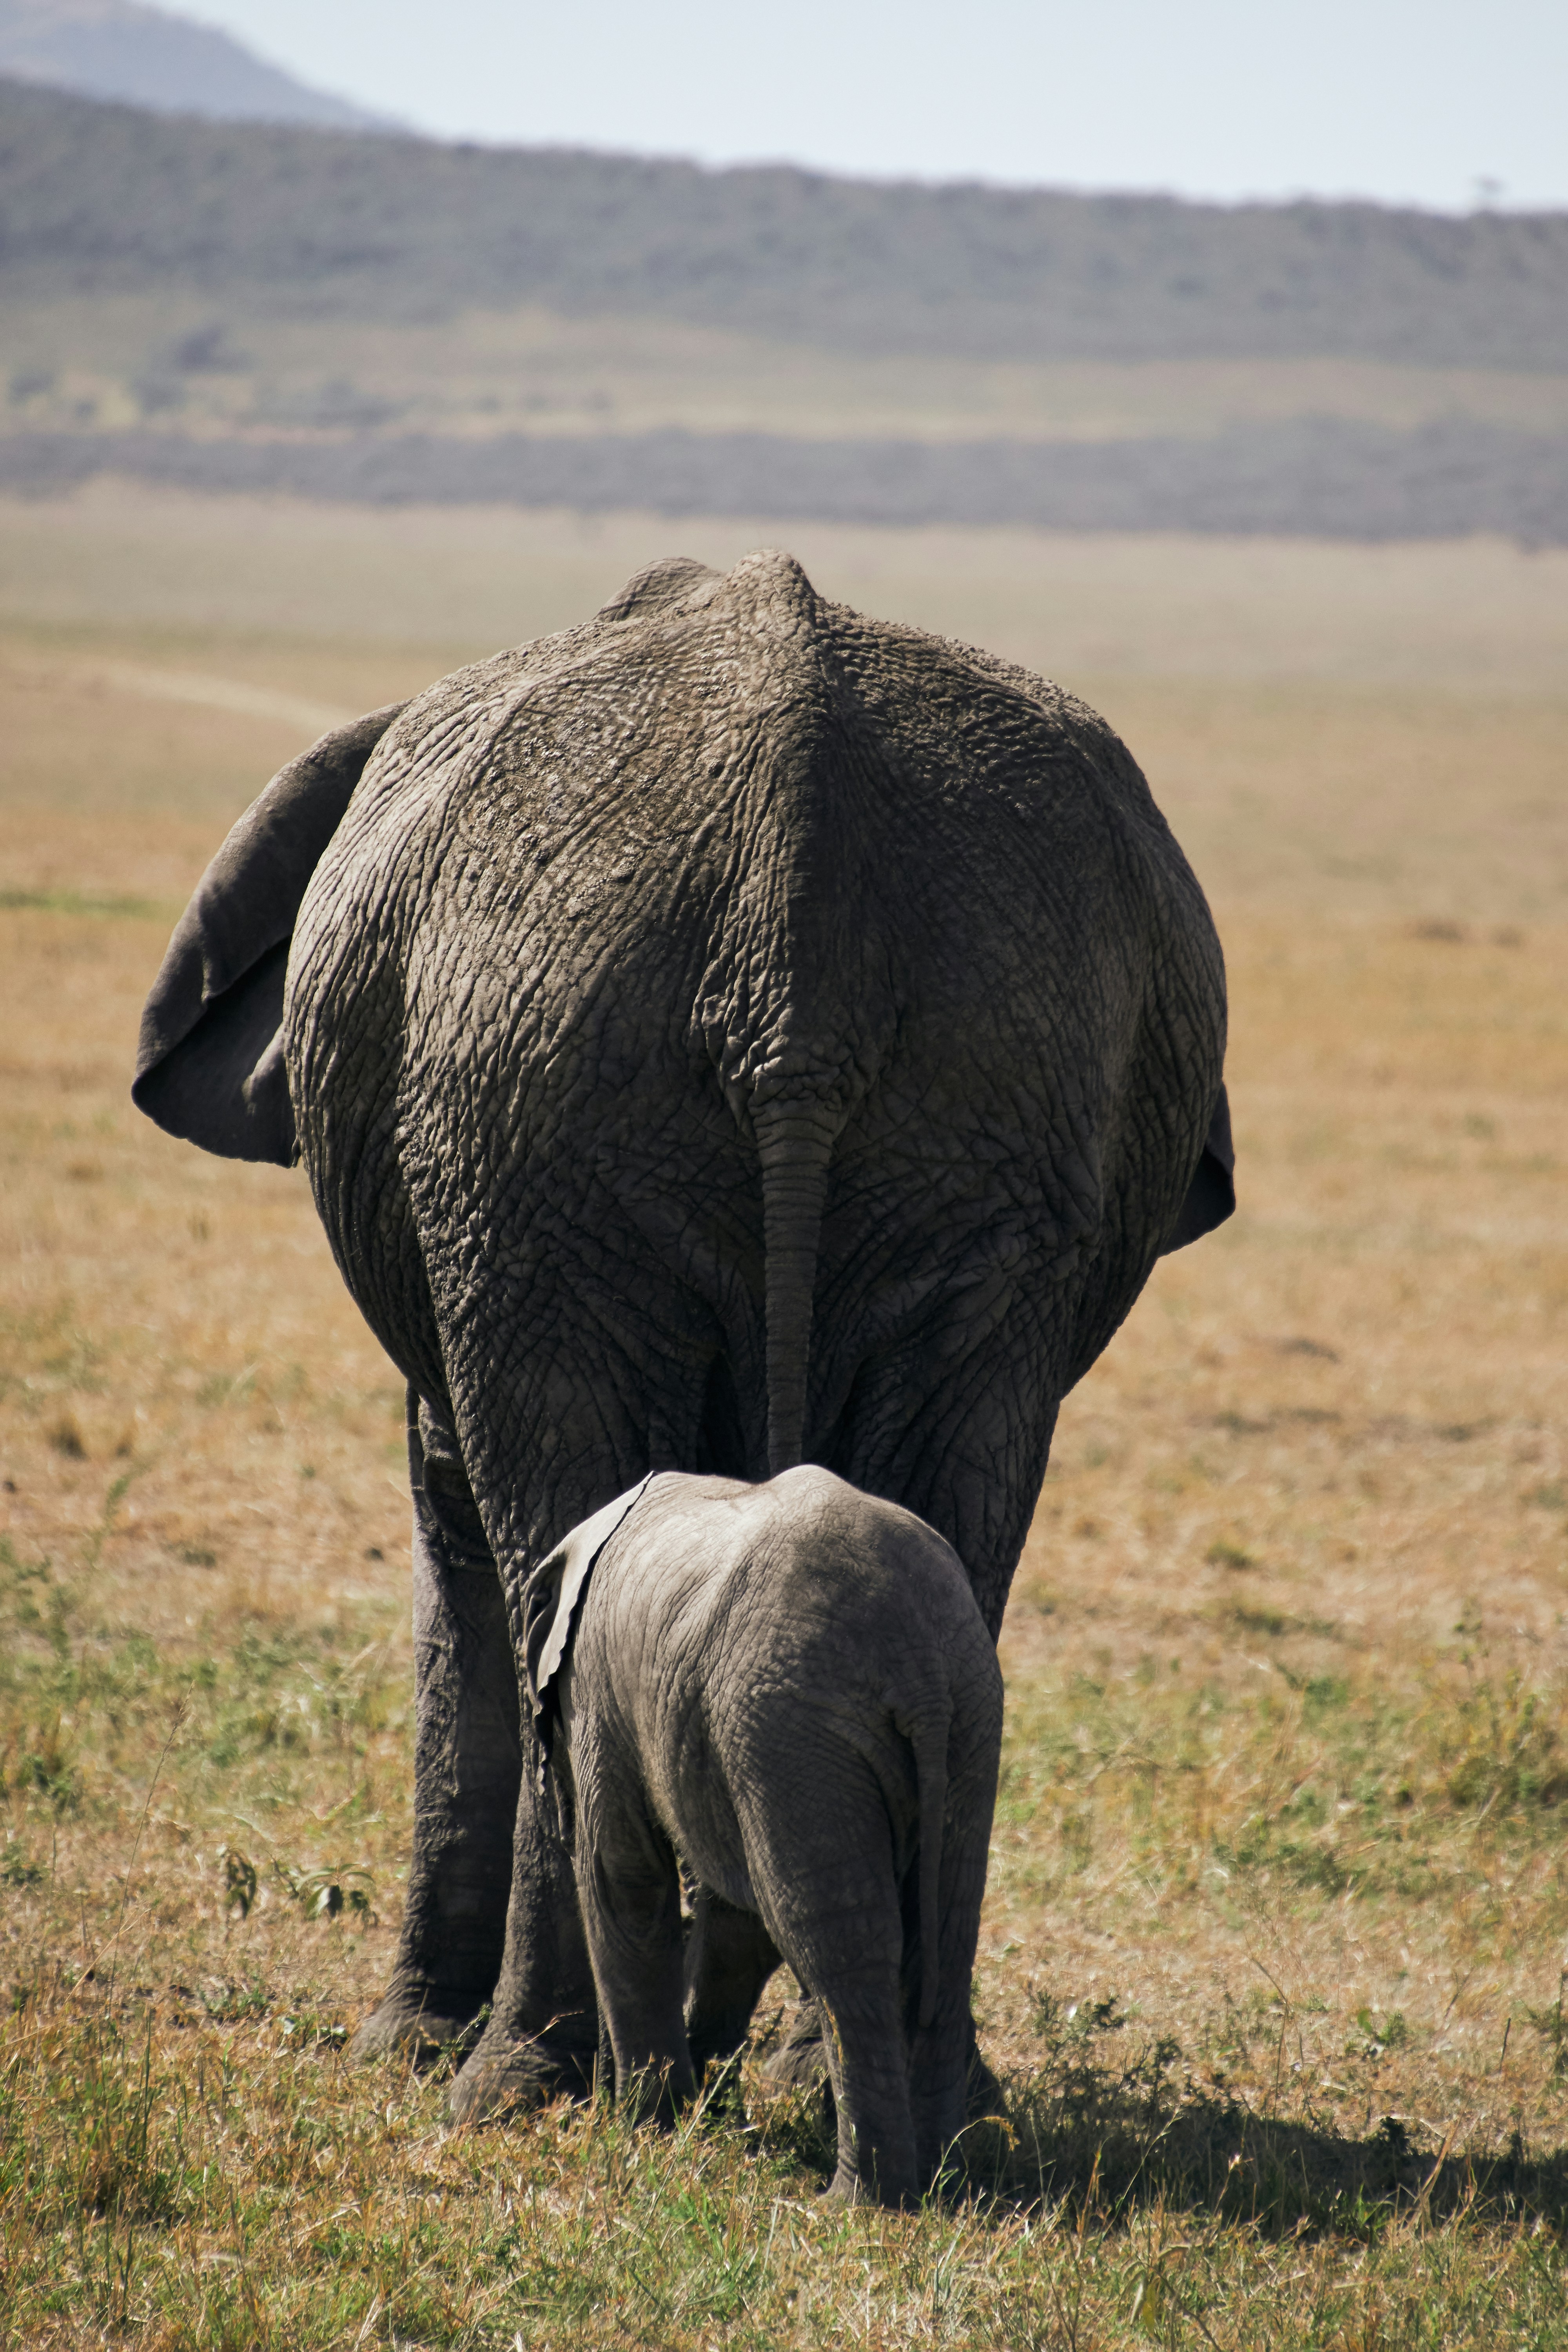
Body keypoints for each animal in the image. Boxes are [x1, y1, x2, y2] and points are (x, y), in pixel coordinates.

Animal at [132, 547, 1233, 2120]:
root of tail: (796, 883)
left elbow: (452, 1532)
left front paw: (406, 2046)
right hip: (996, 1093)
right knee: (960, 1528)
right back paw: (899, 2094)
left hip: (522, 1101)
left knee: (540, 1530)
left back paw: (517, 2080)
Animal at [521, 1464, 1003, 2205]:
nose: (597, 2096)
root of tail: (919, 1666)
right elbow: (735, 1922)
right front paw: (705, 2115)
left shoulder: (598, 1694)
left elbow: (625, 1882)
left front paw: (646, 2133)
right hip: (966, 1720)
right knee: (946, 1937)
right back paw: (946, 2183)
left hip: (789, 1725)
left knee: (836, 1944)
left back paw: (857, 2204)